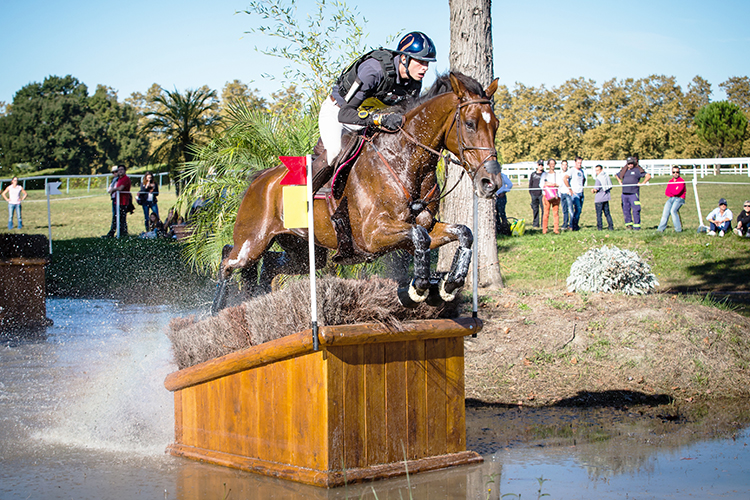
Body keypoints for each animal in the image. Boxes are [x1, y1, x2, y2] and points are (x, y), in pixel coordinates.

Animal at [214, 71, 502, 312]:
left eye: (496, 125)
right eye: (470, 124)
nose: (491, 183)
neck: (404, 160)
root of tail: (260, 178)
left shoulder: (425, 228)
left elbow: (463, 233)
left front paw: (449, 284)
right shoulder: (373, 235)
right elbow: (419, 237)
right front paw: (418, 289)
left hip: (304, 250)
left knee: (270, 267)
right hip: (252, 242)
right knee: (228, 261)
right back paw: (214, 309)